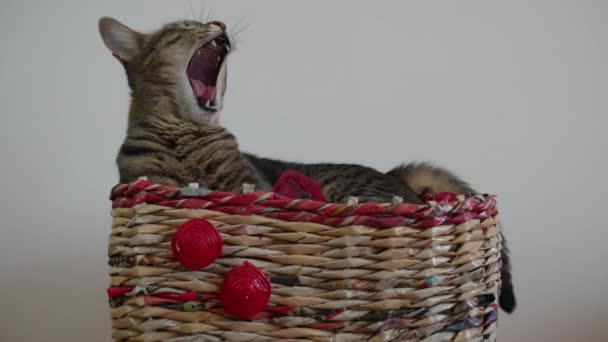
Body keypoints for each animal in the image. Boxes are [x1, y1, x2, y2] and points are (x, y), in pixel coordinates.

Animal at [98, 16, 512, 312]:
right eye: (184, 26)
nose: (218, 22)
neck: (184, 134)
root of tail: (393, 174)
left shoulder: (252, 186)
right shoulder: (148, 180)